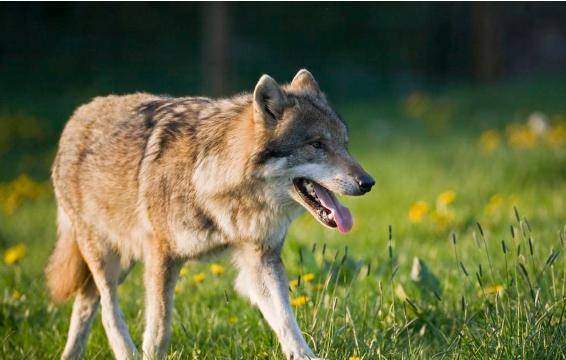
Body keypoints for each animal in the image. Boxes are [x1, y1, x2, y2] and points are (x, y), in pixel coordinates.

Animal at [45, 69, 378, 358]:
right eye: (317, 144)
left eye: (344, 145)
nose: (368, 183)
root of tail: (77, 116)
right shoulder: (162, 258)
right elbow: (159, 331)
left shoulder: (260, 258)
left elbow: (286, 320)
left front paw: (304, 355)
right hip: (107, 257)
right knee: (108, 311)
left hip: (123, 259)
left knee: (86, 303)